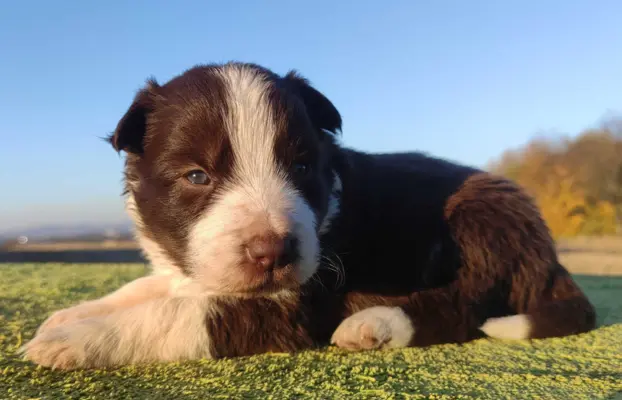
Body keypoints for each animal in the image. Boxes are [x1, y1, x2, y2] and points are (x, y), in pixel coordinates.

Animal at [19, 61, 596, 370]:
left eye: (300, 167)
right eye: (198, 176)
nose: (274, 251)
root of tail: (550, 256)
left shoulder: (293, 305)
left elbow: (181, 314)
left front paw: (74, 341)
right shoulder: (194, 266)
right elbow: (152, 288)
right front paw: (72, 314)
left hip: (480, 220)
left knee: (464, 305)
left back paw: (374, 324)